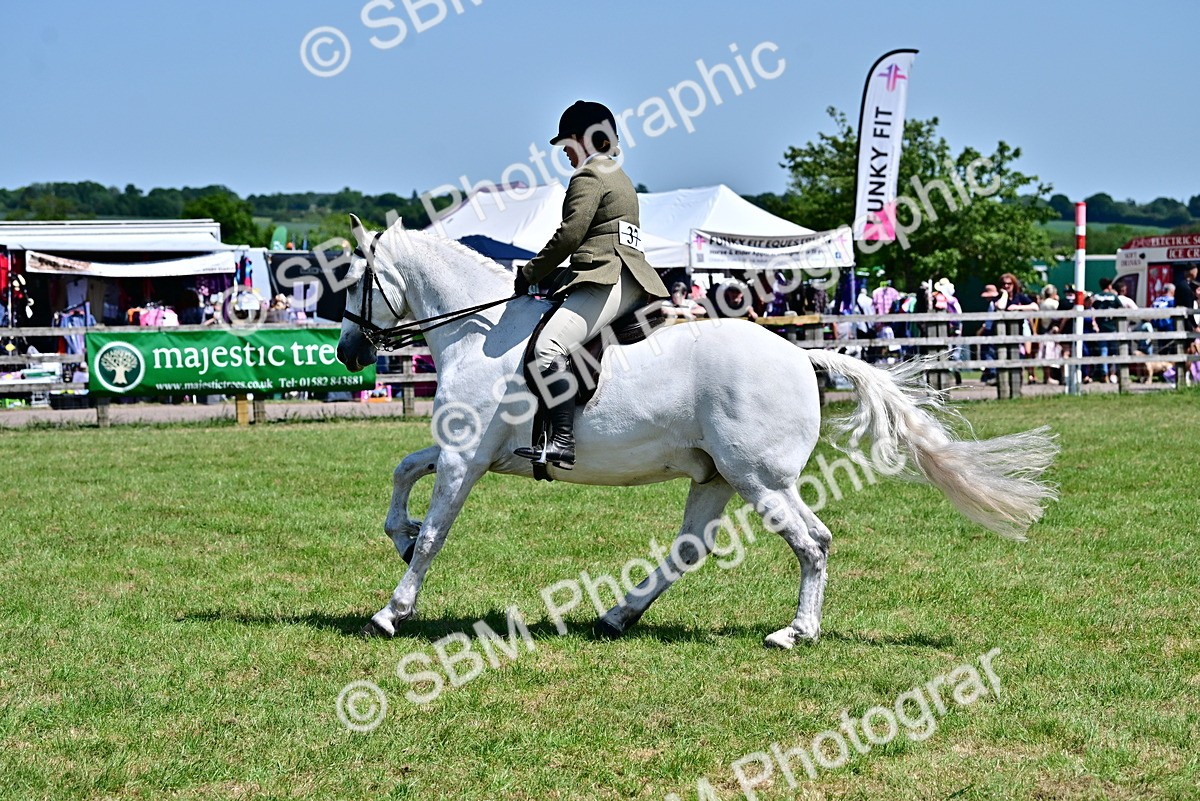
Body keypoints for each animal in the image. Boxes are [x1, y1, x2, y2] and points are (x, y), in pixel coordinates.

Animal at [336, 215, 1058, 649]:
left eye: (351, 280)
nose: (347, 352)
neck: (480, 332)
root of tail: (802, 355)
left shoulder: (465, 458)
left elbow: (436, 532)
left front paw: (391, 610)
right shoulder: (467, 451)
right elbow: (404, 469)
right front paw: (398, 535)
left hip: (758, 478)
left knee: (811, 542)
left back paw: (793, 633)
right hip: (719, 476)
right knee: (698, 548)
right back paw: (619, 615)